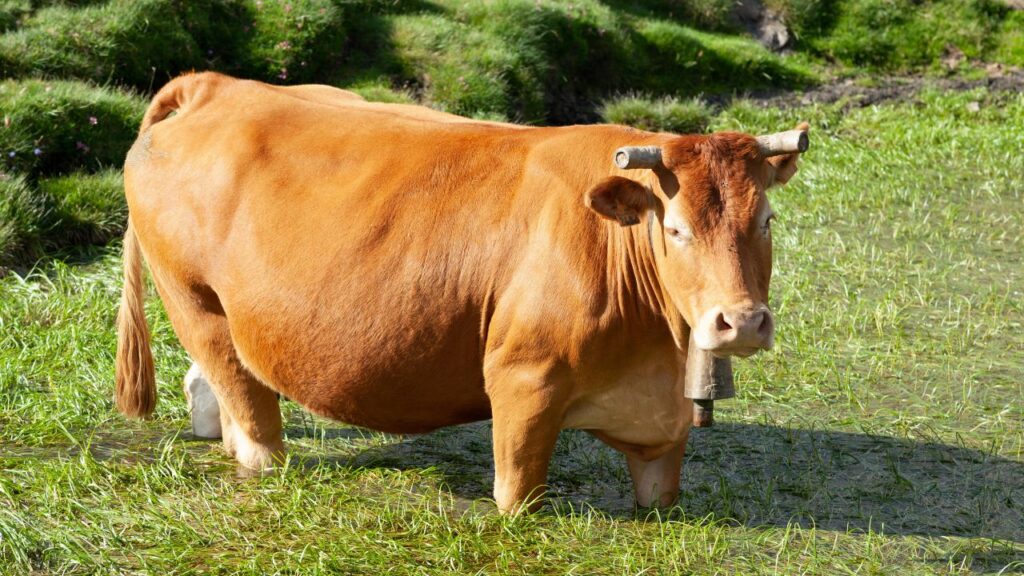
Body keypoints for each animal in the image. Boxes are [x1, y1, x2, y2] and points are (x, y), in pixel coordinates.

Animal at [115, 72, 807, 512]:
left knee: (209, 383)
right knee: (250, 416)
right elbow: (517, 495)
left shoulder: (662, 424)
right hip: (194, 298)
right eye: (675, 228)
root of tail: (215, 86)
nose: (741, 322)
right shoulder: (524, 379)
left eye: (767, 220)